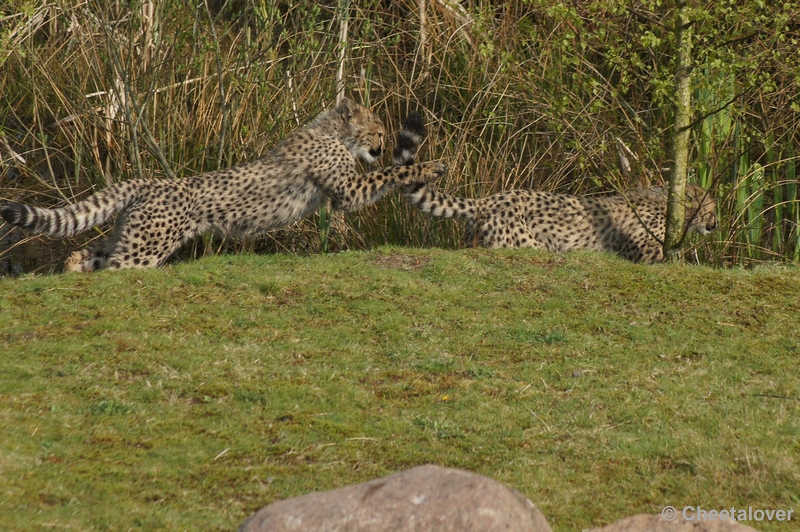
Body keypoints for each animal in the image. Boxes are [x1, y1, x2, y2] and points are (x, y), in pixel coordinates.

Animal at [0, 100, 444, 272]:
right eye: (379, 130)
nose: (382, 146)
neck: (332, 132)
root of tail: (150, 181)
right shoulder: (348, 192)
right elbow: (387, 176)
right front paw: (429, 166)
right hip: (146, 248)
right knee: (116, 267)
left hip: (131, 236)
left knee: (88, 254)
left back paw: (73, 269)